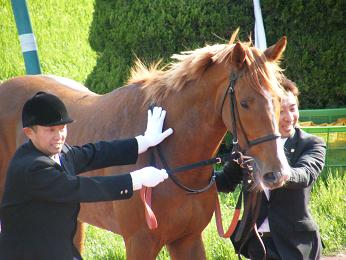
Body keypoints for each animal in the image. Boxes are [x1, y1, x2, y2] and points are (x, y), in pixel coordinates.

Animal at [0, 35, 290, 258]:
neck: (172, 158)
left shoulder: (188, 240)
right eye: (244, 102)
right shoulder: (140, 243)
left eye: (278, 98)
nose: (277, 174)